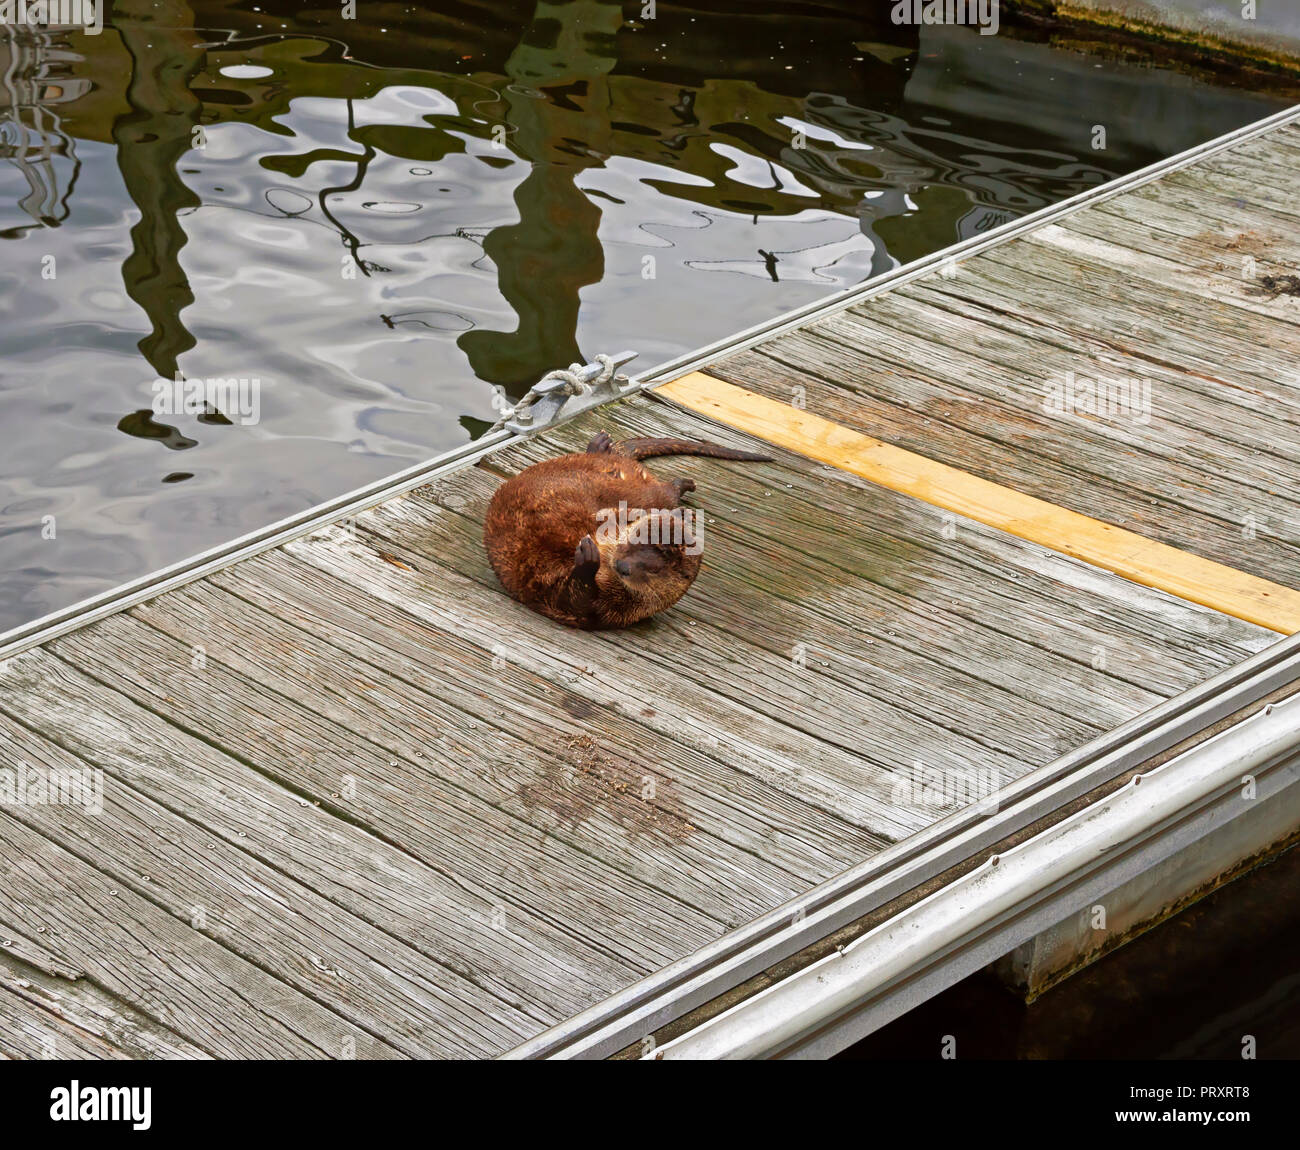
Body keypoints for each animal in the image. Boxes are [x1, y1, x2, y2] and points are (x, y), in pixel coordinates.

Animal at [484, 430, 772, 629]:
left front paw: (587, 558)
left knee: (665, 491)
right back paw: (602, 445)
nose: (623, 565)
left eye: (654, 569)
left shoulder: (596, 611)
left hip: (650, 493)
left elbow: (573, 595)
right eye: (636, 540)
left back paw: (681, 486)